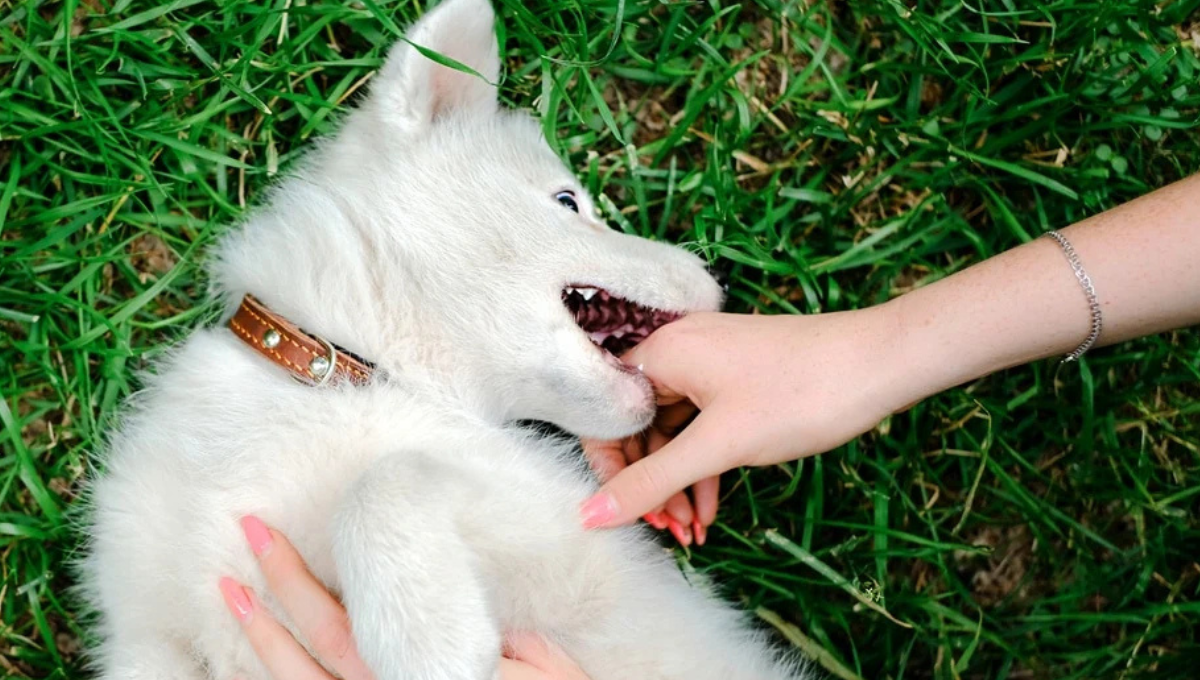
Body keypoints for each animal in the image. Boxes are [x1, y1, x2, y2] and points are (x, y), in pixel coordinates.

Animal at [79, 1, 811, 680]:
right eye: (569, 202)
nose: (719, 281)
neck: (339, 374)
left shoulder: (556, 538)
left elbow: (385, 478)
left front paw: (425, 641)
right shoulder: (144, 642)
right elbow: (390, 475)